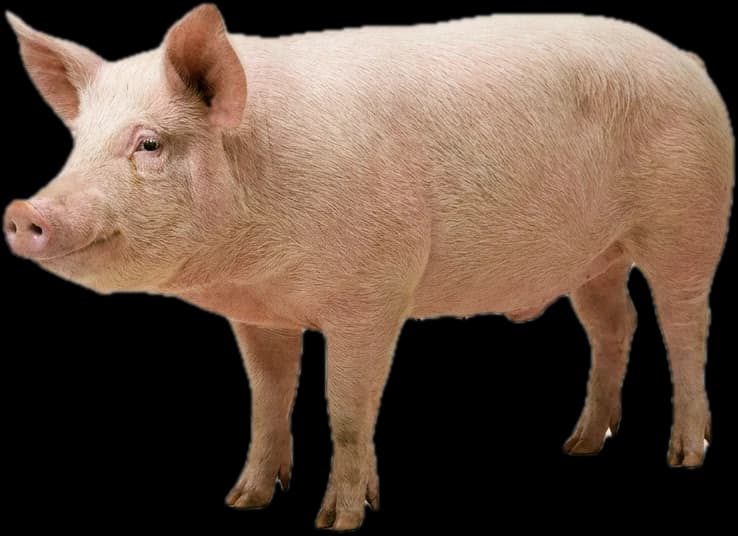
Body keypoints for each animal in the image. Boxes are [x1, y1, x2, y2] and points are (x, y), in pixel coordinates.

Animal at [4, 5, 733, 530]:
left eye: (149, 144)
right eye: (77, 144)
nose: (22, 211)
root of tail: (689, 62)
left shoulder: (372, 296)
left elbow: (348, 406)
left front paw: (339, 522)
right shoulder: (259, 314)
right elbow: (268, 397)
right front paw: (244, 501)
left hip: (689, 222)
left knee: (686, 324)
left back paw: (686, 455)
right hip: (594, 256)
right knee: (615, 322)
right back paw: (579, 446)